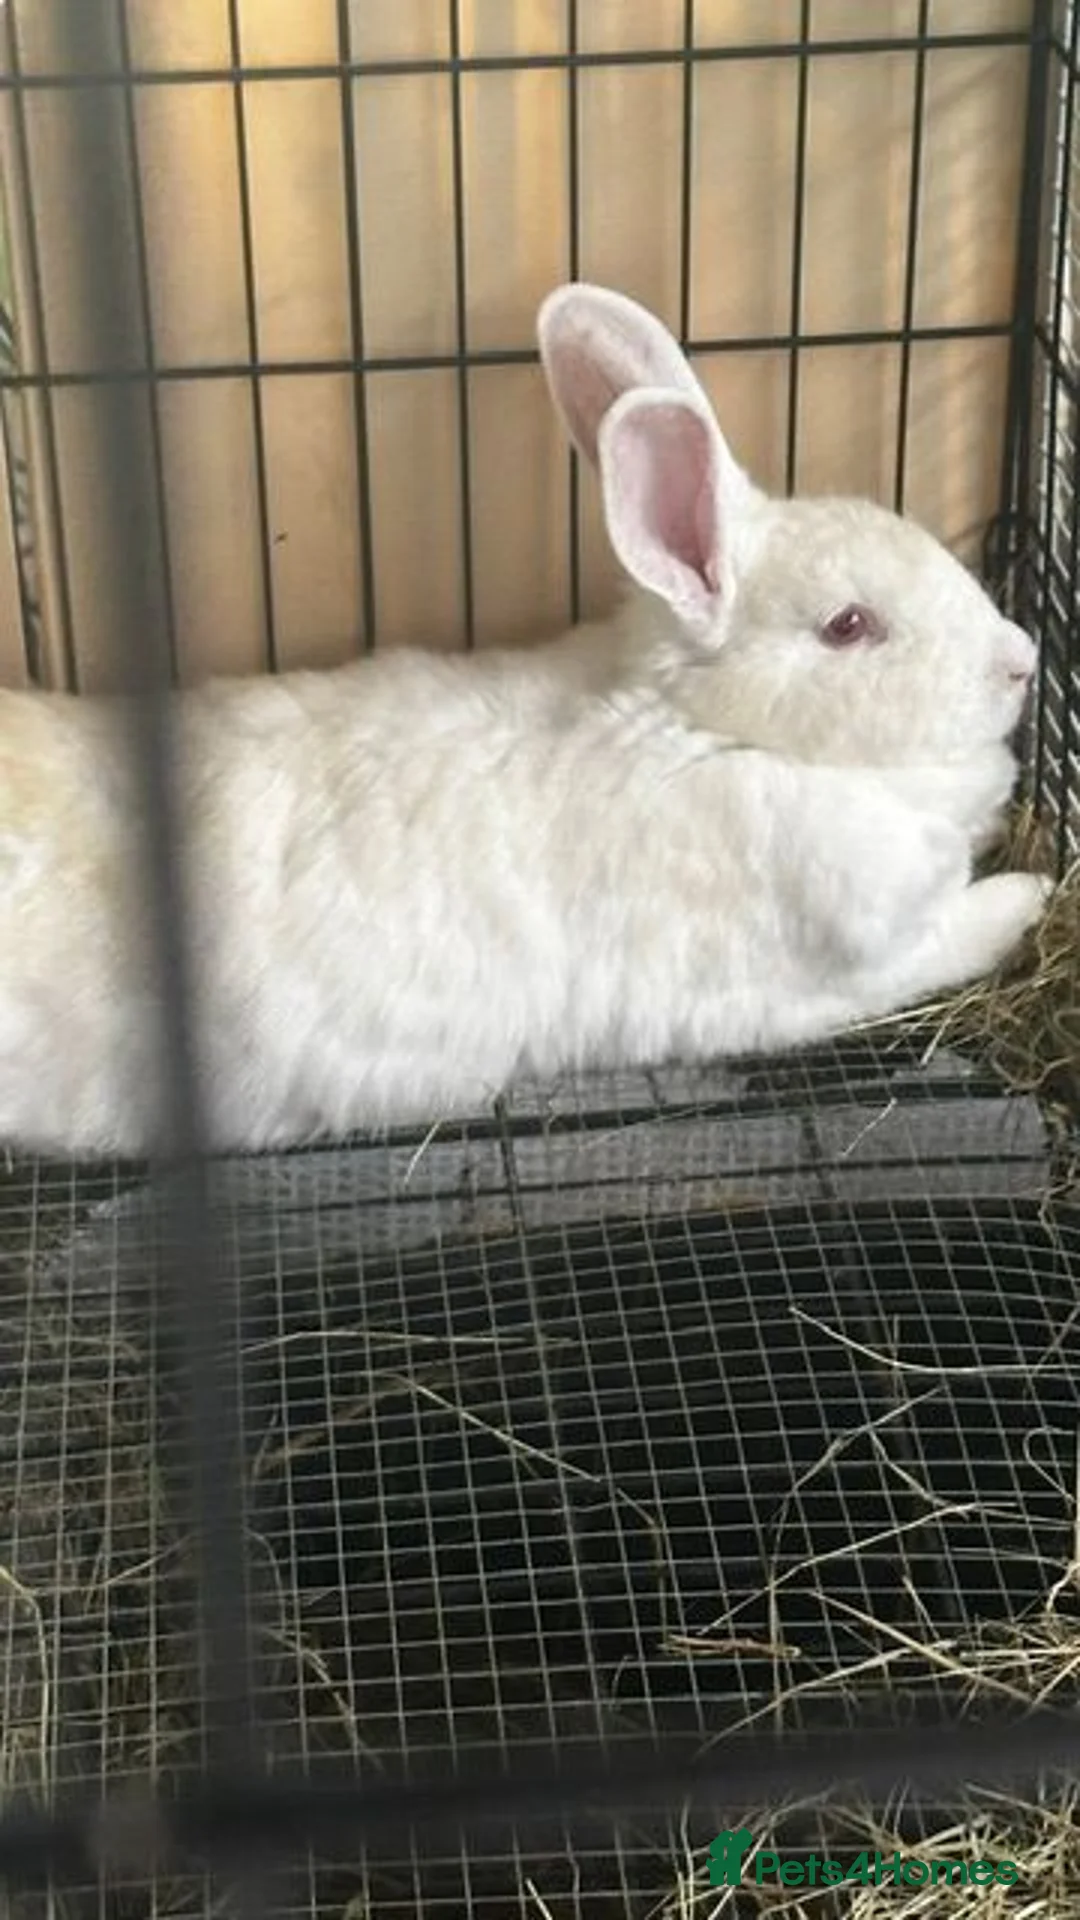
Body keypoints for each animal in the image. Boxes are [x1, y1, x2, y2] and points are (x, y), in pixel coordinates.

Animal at [0, 281, 1049, 1160]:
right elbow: (960, 933)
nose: (1023, 660)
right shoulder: (835, 966)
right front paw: (1034, 893)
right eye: (849, 626)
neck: (699, 725)